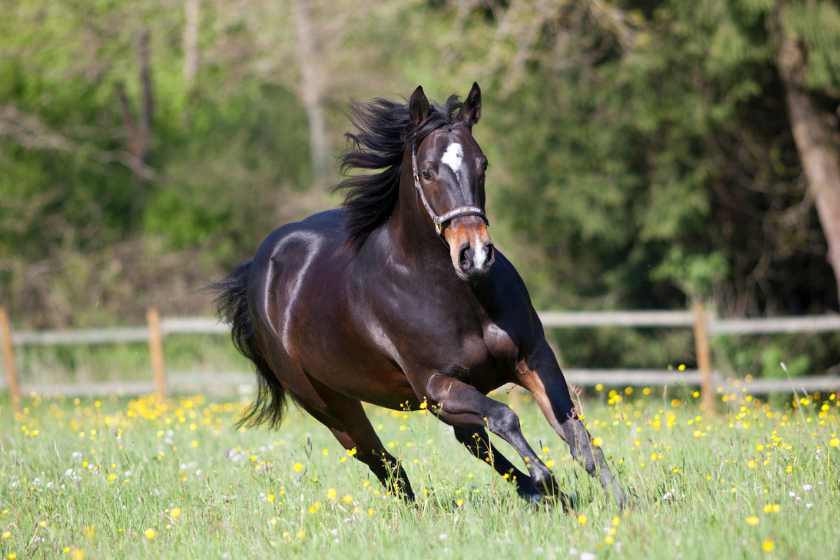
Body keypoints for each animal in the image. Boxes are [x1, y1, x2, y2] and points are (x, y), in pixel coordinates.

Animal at [213, 82, 628, 508]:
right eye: (427, 172)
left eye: (483, 164)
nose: (475, 256)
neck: (460, 298)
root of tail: (259, 267)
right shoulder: (435, 384)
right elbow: (506, 417)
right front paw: (546, 478)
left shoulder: (533, 359)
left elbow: (579, 439)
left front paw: (623, 504)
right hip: (330, 405)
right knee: (385, 462)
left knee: (467, 440)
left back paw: (541, 496)